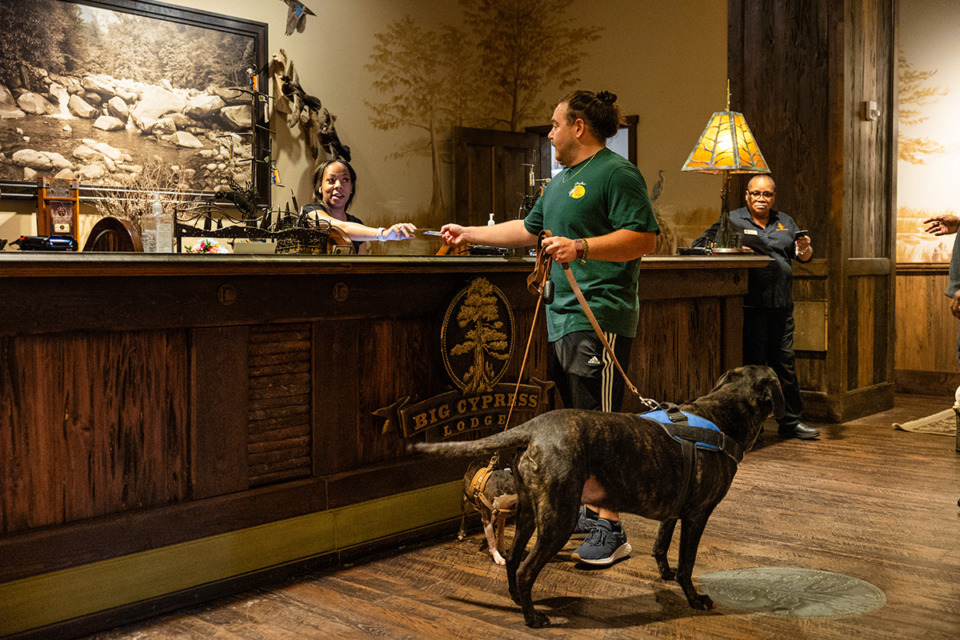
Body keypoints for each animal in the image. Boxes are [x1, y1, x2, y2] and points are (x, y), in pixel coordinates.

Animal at [410, 362, 780, 628]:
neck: (721, 412)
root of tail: (534, 427)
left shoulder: (673, 512)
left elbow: (661, 546)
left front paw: (666, 574)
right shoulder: (696, 515)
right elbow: (687, 563)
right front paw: (694, 598)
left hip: (529, 513)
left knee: (514, 560)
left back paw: (517, 599)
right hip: (558, 520)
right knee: (527, 568)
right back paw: (533, 618)